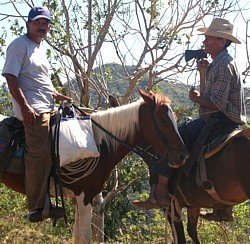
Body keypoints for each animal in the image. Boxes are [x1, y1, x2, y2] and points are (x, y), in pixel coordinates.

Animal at [0, 89, 188, 242]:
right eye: (162, 120)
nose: (182, 156)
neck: (100, 144)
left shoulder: (80, 198)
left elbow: (77, 236)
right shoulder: (85, 195)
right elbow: (85, 237)